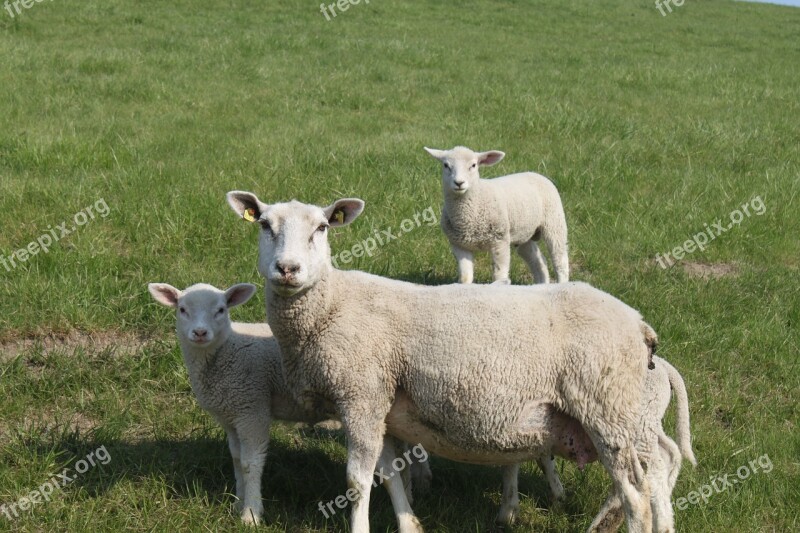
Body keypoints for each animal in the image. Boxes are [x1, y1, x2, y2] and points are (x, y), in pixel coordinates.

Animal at [147, 280, 428, 524]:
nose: (200, 332)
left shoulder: (252, 408)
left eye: (221, 310)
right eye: (182, 309)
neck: (224, 352)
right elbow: (237, 459)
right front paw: (237, 502)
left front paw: (251, 513)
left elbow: (251, 462)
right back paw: (412, 490)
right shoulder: (230, 415)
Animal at [227, 191, 664, 532]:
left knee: (637, 496)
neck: (332, 305)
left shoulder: (361, 395)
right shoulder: (382, 404)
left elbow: (357, 480)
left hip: (605, 409)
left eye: (321, 228)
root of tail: (639, 322)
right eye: (264, 224)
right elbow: (389, 473)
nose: (288, 269)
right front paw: (409, 523)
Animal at [424, 145, 568, 284]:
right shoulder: (459, 246)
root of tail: (535, 173)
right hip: (524, 234)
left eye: (473, 165)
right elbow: (465, 277)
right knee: (538, 260)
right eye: (446, 165)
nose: (459, 183)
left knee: (560, 259)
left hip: (554, 221)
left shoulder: (500, 240)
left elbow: (500, 275)